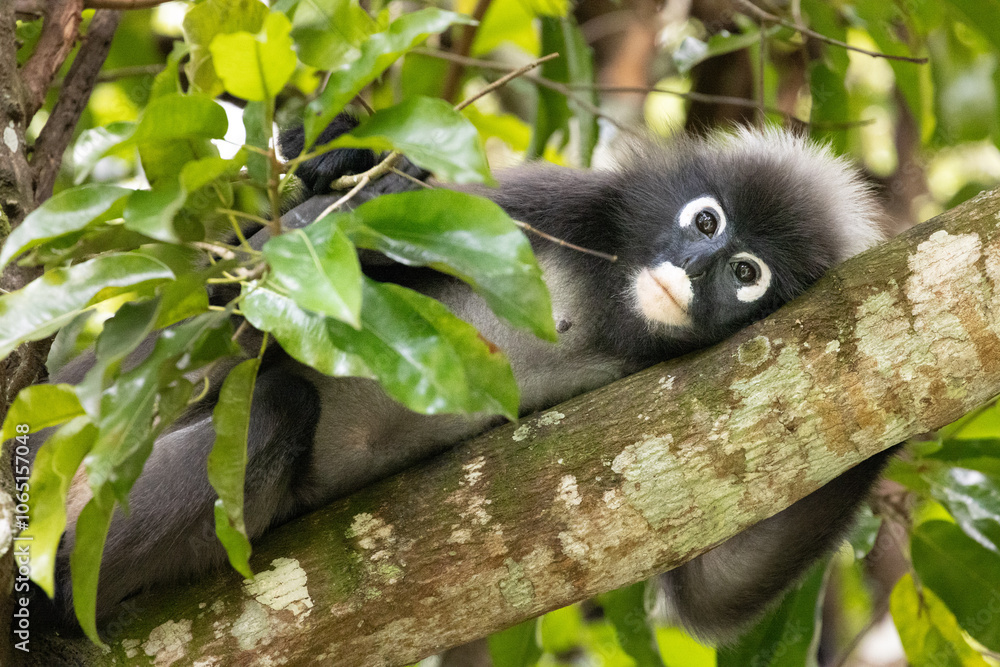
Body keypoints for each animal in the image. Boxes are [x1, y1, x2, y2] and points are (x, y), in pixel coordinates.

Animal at [34, 117, 892, 642]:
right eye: (706, 222)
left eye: (746, 273)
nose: (694, 270)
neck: (605, 301)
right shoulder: (544, 200)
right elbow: (261, 265)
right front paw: (350, 158)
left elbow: (707, 588)